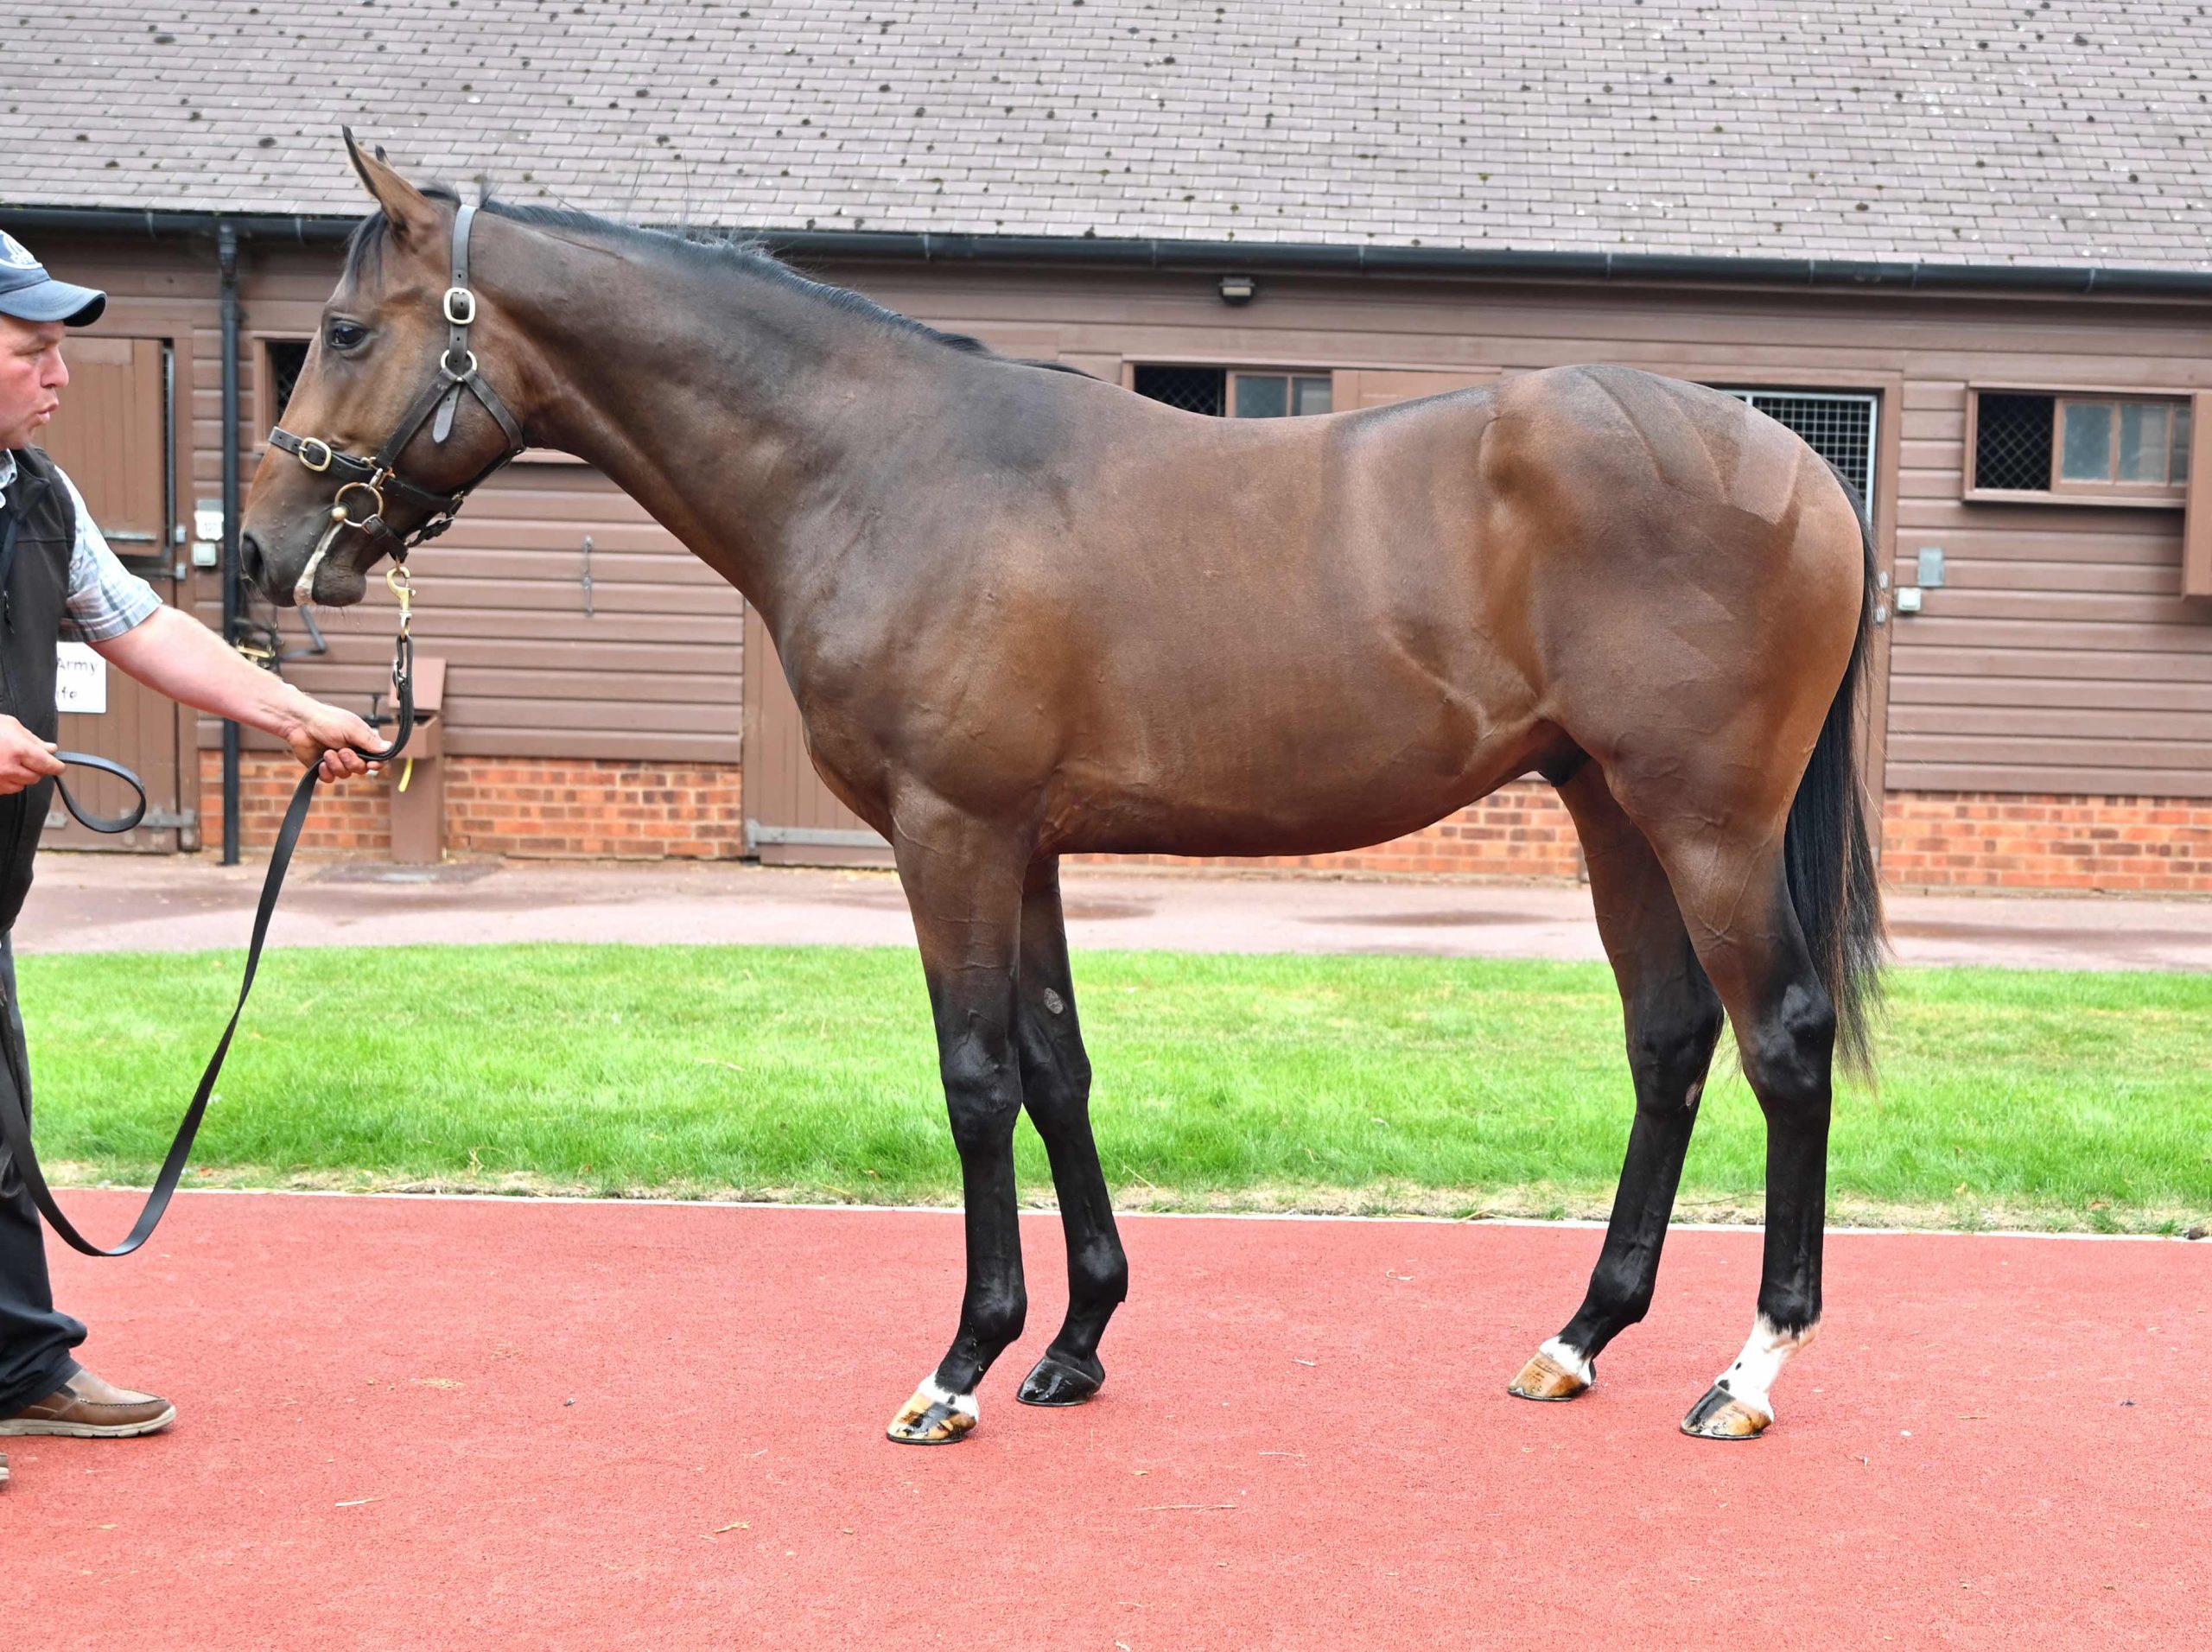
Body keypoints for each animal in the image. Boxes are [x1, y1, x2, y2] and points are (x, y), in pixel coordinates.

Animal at [242, 135, 1875, 1441]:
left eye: (342, 329)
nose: (259, 549)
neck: (886, 468)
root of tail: (1801, 464)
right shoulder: (1021, 845)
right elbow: (1055, 1067)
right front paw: (1077, 1341)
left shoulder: (949, 833)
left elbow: (975, 1077)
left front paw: (962, 1363)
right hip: (1610, 808)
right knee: (1670, 1042)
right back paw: (1580, 1337)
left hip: (1706, 822)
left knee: (1782, 1039)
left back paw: (1750, 1368)